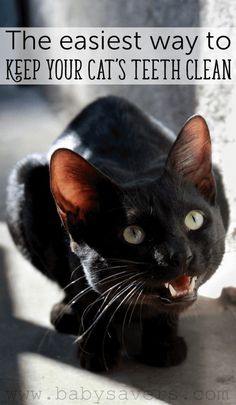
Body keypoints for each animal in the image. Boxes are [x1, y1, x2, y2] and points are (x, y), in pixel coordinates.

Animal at [6, 94, 229, 370]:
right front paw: (98, 349)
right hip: (24, 177)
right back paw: (66, 312)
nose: (180, 255)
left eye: (194, 219)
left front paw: (162, 346)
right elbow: (91, 298)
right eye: (133, 234)